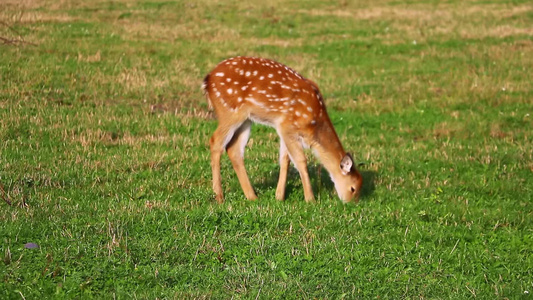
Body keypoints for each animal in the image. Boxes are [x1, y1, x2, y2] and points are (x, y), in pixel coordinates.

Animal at [203, 55, 362, 204]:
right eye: (353, 188)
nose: (351, 204)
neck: (314, 123)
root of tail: (208, 79)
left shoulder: (286, 130)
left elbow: (285, 159)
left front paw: (279, 196)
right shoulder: (287, 126)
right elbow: (300, 160)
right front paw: (310, 199)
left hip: (246, 120)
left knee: (233, 149)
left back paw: (252, 196)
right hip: (229, 111)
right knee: (216, 141)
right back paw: (219, 196)